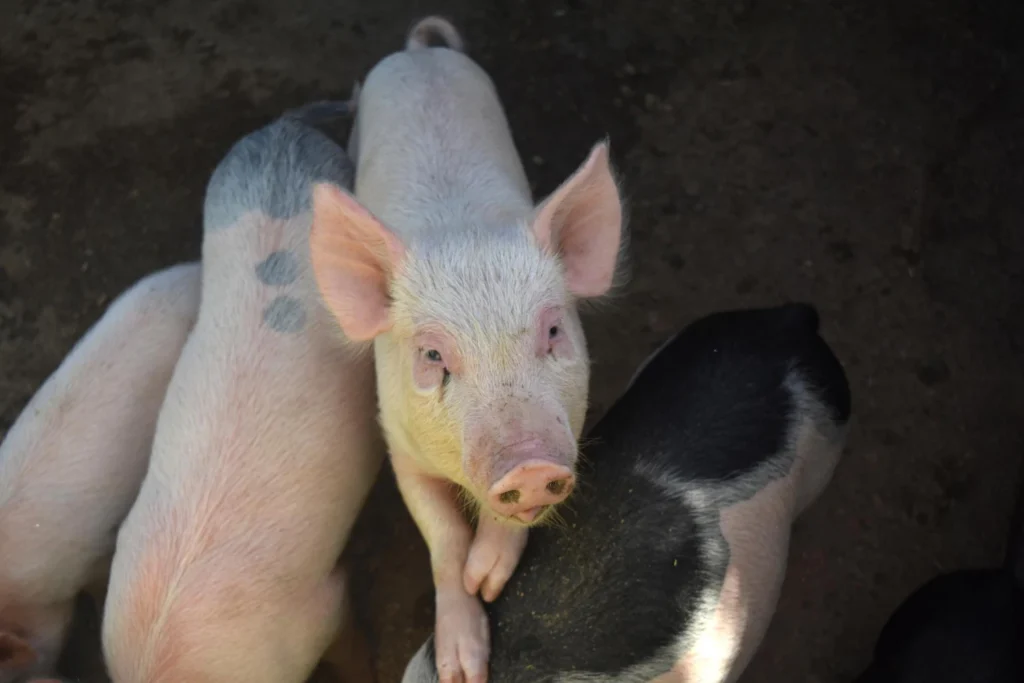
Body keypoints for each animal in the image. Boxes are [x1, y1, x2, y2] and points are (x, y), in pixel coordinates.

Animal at [309, 16, 625, 683]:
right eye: (432, 358)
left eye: (552, 331)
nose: (530, 467)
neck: (463, 231)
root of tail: (418, 55)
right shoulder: (398, 444)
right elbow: (442, 537)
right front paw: (462, 665)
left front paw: (488, 578)